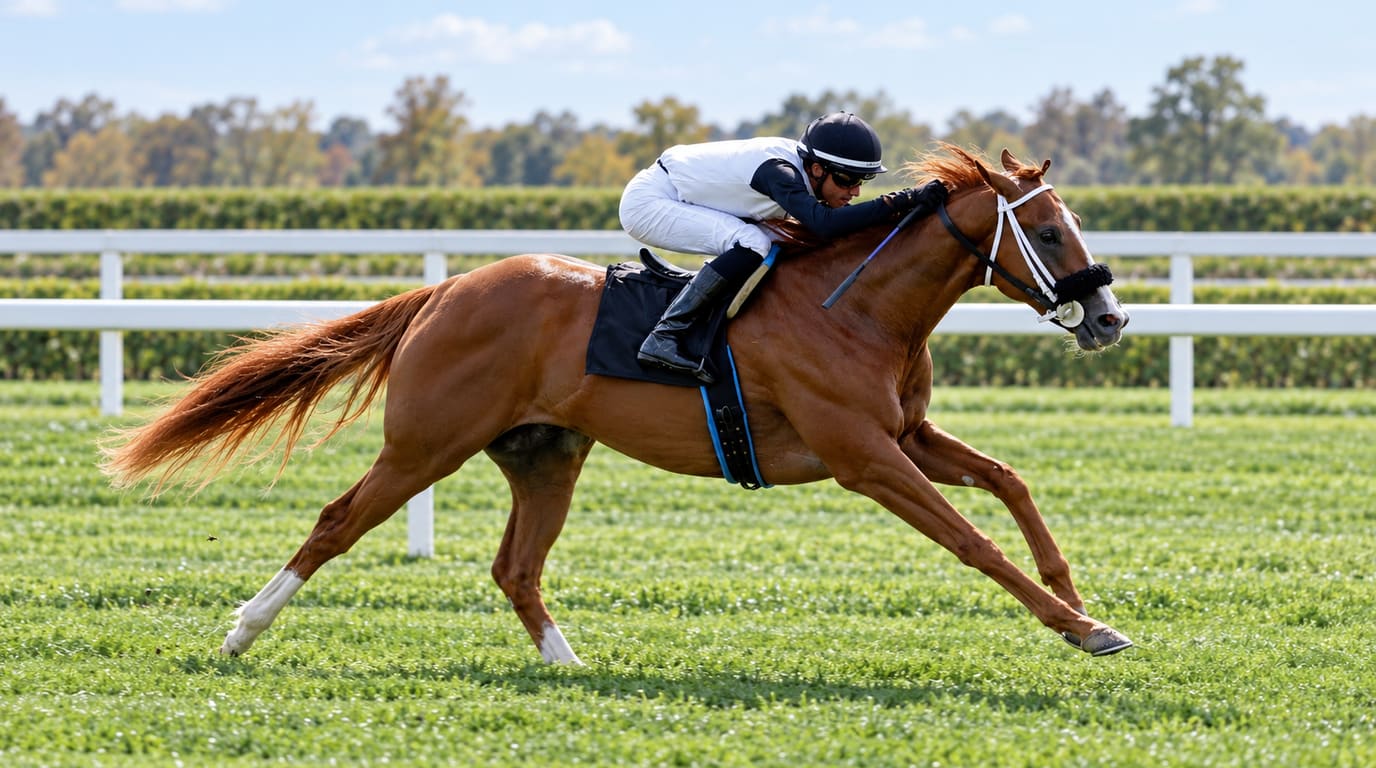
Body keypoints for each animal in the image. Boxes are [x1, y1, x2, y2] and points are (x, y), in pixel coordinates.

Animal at [102, 145, 1134, 664]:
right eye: (1048, 231)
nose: (1109, 317)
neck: (855, 305)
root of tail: (446, 291)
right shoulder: (864, 457)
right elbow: (973, 541)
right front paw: (1083, 630)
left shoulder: (907, 434)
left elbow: (1010, 482)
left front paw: (1078, 595)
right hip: (425, 444)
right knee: (335, 521)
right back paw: (241, 631)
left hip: (546, 451)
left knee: (514, 566)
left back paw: (570, 665)